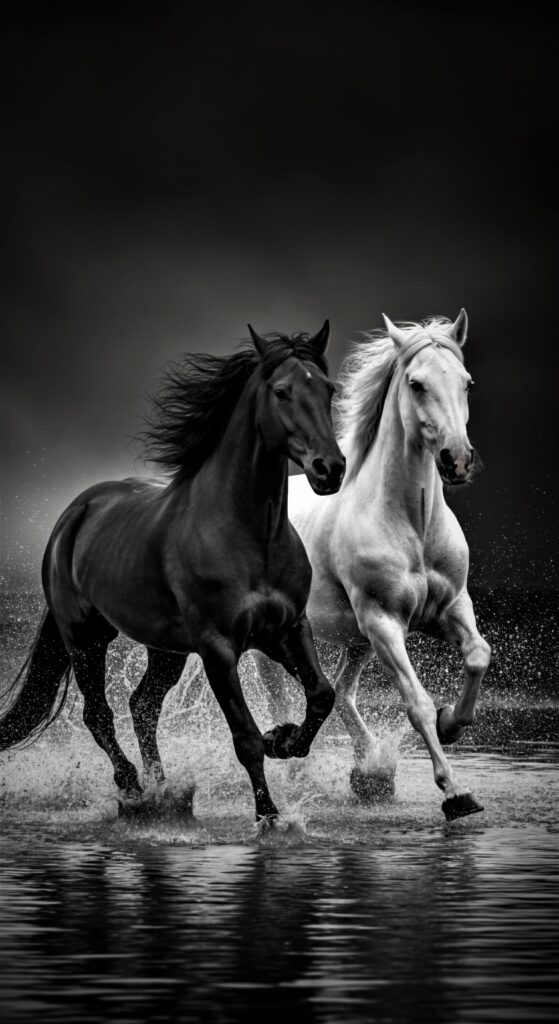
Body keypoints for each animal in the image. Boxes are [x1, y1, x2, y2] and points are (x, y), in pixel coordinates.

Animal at [0, 321, 346, 823]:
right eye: (281, 392)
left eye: (328, 389)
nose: (330, 469)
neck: (251, 535)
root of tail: (74, 514)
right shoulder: (218, 648)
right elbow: (244, 737)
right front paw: (269, 815)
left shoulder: (286, 630)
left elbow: (321, 695)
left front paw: (281, 739)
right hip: (85, 639)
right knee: (99, 714)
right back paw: (132, 788)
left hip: (165, 650)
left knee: (142, 706)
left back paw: (164, 790)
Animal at [254, 311, 491, 821]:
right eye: (417, 384)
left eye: (466, 382)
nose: (457, 460)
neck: (411, 524)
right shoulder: (384, 622)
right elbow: (415, 703)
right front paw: (455, 794)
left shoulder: (449, 608)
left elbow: (478, 656)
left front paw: (451, 723)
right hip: (297, 639)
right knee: (283, 693)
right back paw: (294, 761)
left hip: (356, 639)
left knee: (343, 694)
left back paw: (370, 774)